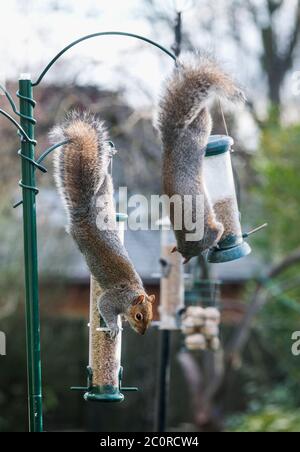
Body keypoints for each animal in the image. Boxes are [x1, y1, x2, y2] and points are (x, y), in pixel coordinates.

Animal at [51, 112, 154, 340]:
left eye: (150, 317)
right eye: (139, 316)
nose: (143, 333)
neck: (130, 293)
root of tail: (85, 213)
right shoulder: (111, 299)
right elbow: (104, 305)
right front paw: (114, 326)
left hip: (105, 189)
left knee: (105, 180)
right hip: (79, 237)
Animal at [158, 54, 245, 264]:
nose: (186, 257)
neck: (188, 242)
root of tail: (173, 142)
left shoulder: (208, 233)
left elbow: (218, 231)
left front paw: (218, 239)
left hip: (198, 133)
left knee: (203, 119)